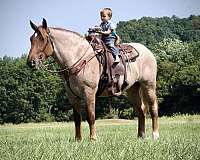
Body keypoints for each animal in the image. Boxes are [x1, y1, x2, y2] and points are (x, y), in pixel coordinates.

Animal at [27, 18, 159, 141]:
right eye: (31, 39)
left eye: (42, 39)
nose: (31, 62)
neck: (78, 58)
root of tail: (147, 51)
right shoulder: (72, 96)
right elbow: (77, 119)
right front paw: (78, 140)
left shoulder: (89, 92)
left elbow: (91, 117)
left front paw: (93, 139)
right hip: (132, 90)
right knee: (140, 112)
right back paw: (141, 136)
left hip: (149, 85)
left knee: (153, 109)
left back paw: (155, 135)